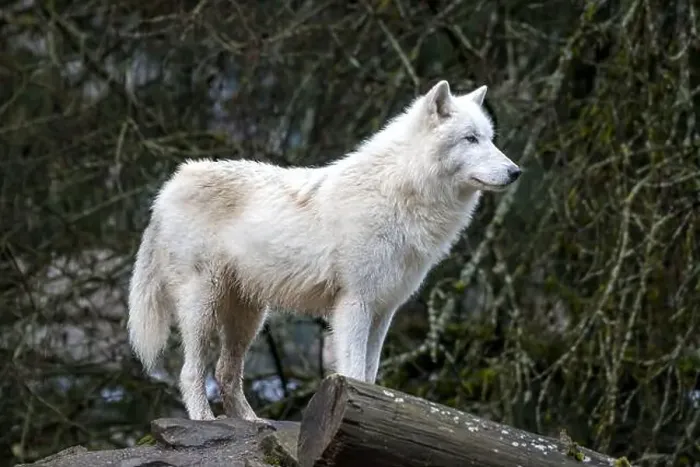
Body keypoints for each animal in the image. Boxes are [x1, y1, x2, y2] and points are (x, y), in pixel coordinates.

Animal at [127, 80, 521, 421]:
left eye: (490, 139)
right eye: (470, 139)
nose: (516, 171)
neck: (400, 194)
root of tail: (172, 183)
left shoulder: (384, 311)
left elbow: (370, 373)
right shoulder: (354, 304)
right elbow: (354, 371)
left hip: (249, 317)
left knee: (226, 373)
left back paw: (254, 423)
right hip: (203, 308)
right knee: (190, 372)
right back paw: (205, 421)